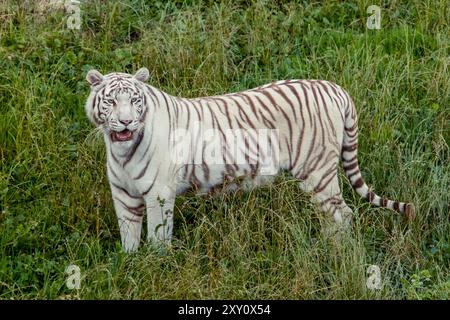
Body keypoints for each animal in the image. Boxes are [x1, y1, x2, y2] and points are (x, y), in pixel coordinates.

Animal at [84, 67, 414, 252]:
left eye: (134, 100)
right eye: (111, 101)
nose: (125, 122)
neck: (121, 151)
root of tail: (334, 88)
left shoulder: (159, 195)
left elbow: (157, 236)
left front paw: (156, 266)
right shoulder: (123, 195)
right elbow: (129, 236)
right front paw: (131, 264)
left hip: (317, 172)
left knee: (342, 214)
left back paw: (333, 252)